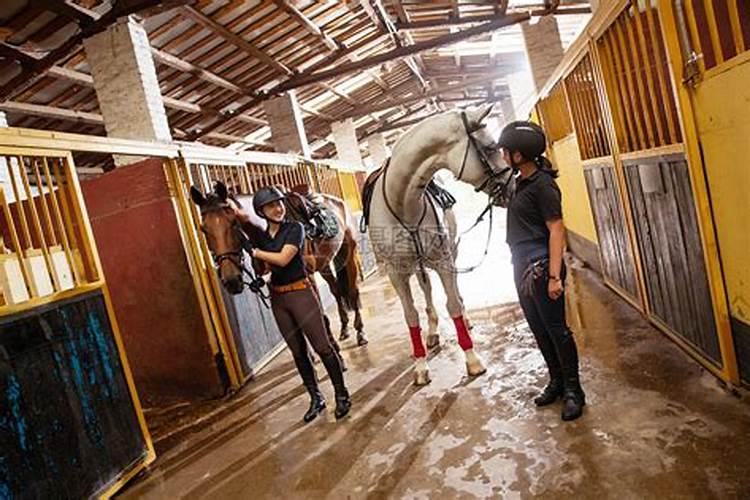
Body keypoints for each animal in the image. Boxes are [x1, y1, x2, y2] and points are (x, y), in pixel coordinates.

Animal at [191, 182, 368, 346]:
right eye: (203, 229)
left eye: (233, 223)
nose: (232, 281)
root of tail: (338, 201)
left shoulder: (307, 275)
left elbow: (318, 314)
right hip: (324, 263)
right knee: (336, 291)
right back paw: (344, 328)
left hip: (349, 254)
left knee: (353, 291)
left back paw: (360, 332)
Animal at [366, 100, 516, 382]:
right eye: (491, 148)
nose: (511, 187)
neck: (404, 205)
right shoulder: (396, 272)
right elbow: (411, 316)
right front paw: (420, 365)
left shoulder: (444, 259)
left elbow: (453, 303)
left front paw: (472, 360)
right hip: (418, 266)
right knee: (426, 291)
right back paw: (433, 333)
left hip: (451, 253)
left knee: (454, 289)